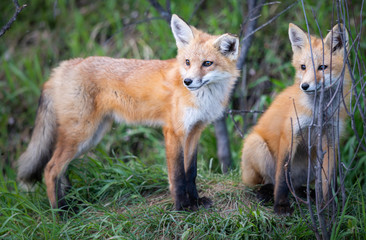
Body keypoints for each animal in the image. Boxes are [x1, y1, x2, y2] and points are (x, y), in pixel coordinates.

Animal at [17, 14, 240, 211]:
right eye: (187, 62)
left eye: (207, 63)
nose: (188, 81)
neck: (204, 99)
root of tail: (62, 67)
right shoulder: (173, 132)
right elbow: (177, 176)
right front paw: (182, 207)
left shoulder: (194, 131)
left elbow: (191, 172)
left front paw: (196, 202)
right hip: (81, 133)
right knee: (50, 168)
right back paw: (61, 214)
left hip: (92, 136)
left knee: (61, 170)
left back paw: (70, 204)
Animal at [242, 23, 350, 216]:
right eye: (303, 67)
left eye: (322, 67)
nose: (304, 86)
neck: (319, 112)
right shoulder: (290, 134)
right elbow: (282, 178)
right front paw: (281, 205)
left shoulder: (330, 139)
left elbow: (327, 182)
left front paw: (327, 208)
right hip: (256, 146)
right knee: (266, 182)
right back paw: (265, 192)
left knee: (297, 185)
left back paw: (305, 192)